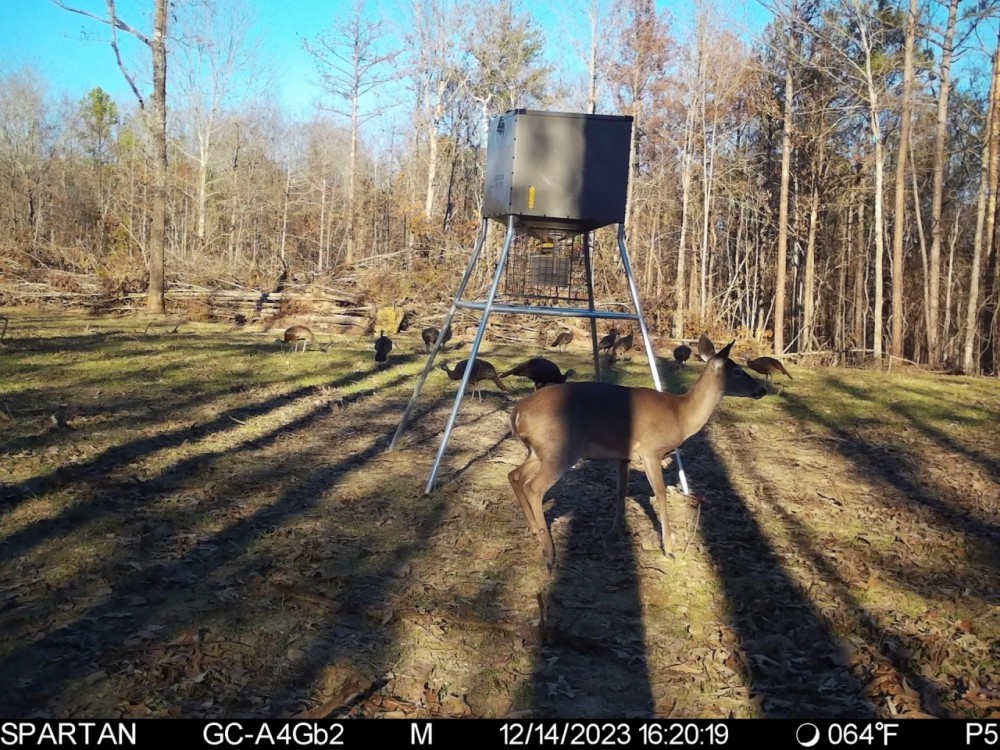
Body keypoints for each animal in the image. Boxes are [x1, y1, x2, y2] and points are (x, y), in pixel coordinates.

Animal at [507, 336, 766, 570]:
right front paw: (669, 548)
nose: (761, 389)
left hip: (538, 451)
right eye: (738, 371)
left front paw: (616, 532)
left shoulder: (624, 455)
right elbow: (660, 494)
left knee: (515, 475)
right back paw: (549, 554)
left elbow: (621, 491)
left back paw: (534, 531)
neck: (680, 415)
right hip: (562, 448)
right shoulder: (650, 451)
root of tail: (517, 413)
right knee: (534, 487)